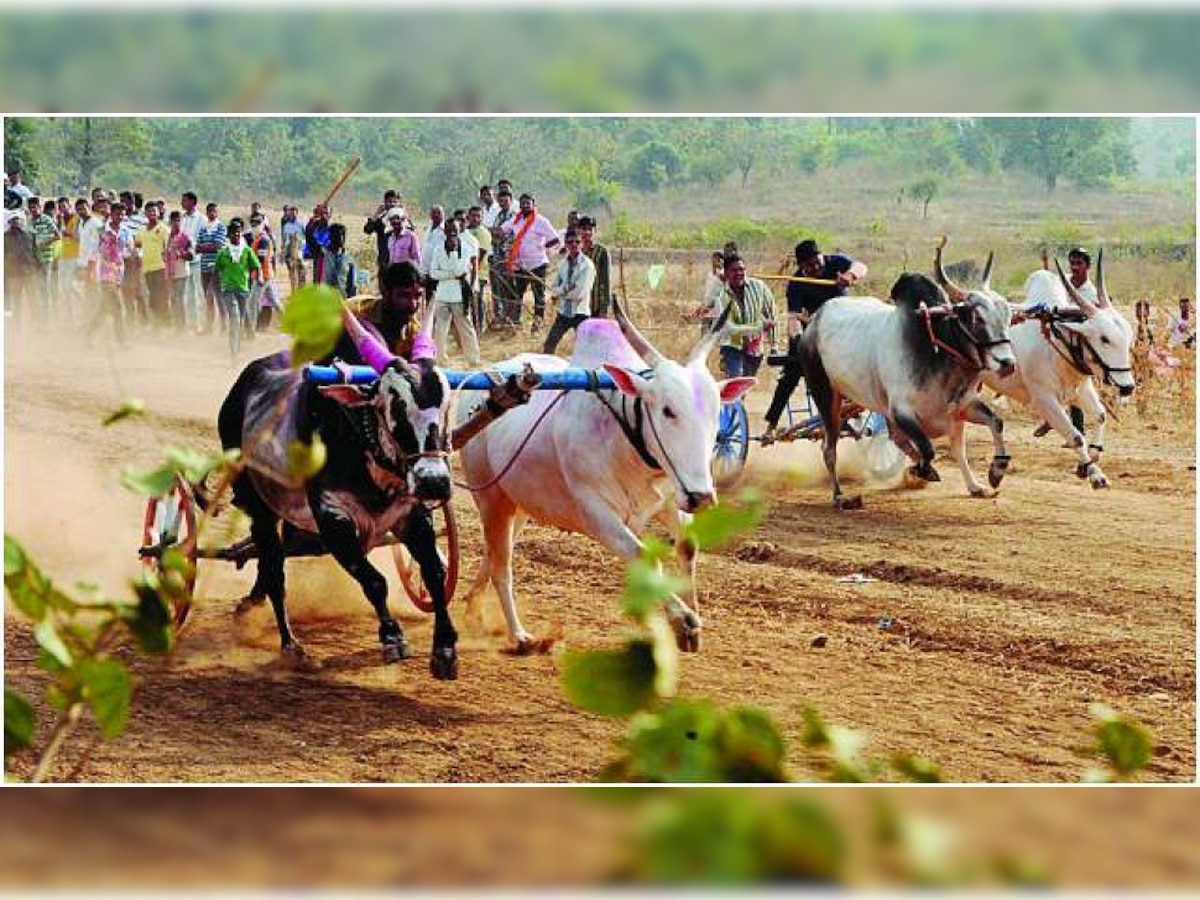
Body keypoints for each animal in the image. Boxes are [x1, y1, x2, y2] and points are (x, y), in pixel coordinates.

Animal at [456, 300, 748, 652]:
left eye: (717, 412)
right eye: (668, 410)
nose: (702, 497)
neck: (626, 440)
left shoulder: (669, 499)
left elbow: (687, 548)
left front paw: (689, 624)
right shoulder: (597, 515)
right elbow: (644, 557)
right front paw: (684, 622)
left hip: (518, 503)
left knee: (494, 551)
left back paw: (473, 608)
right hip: (489, 497)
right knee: (503, 564)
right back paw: (518, 634)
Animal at [801, 240, 1017, 511]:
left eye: (1008, 315)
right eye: (977, 317)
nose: (1008, 363)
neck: (935, 344)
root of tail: (814, 321)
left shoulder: (961, 407)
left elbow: (990, 427)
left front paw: (992, 474)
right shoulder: (902, 411)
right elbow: (928, 449)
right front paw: (921, 471)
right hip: (826, 394)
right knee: (828, 448)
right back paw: (840, 496)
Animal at [984, 250, 1132, 489]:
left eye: (1128, 335)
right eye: (1104, 338)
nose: (1127, 387)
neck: (1056, 347)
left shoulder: (1081, 390)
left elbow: (1100, 416)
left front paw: (1090, 460)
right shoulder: (1044, 399)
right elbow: (1076, 437)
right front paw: (1095, 474)